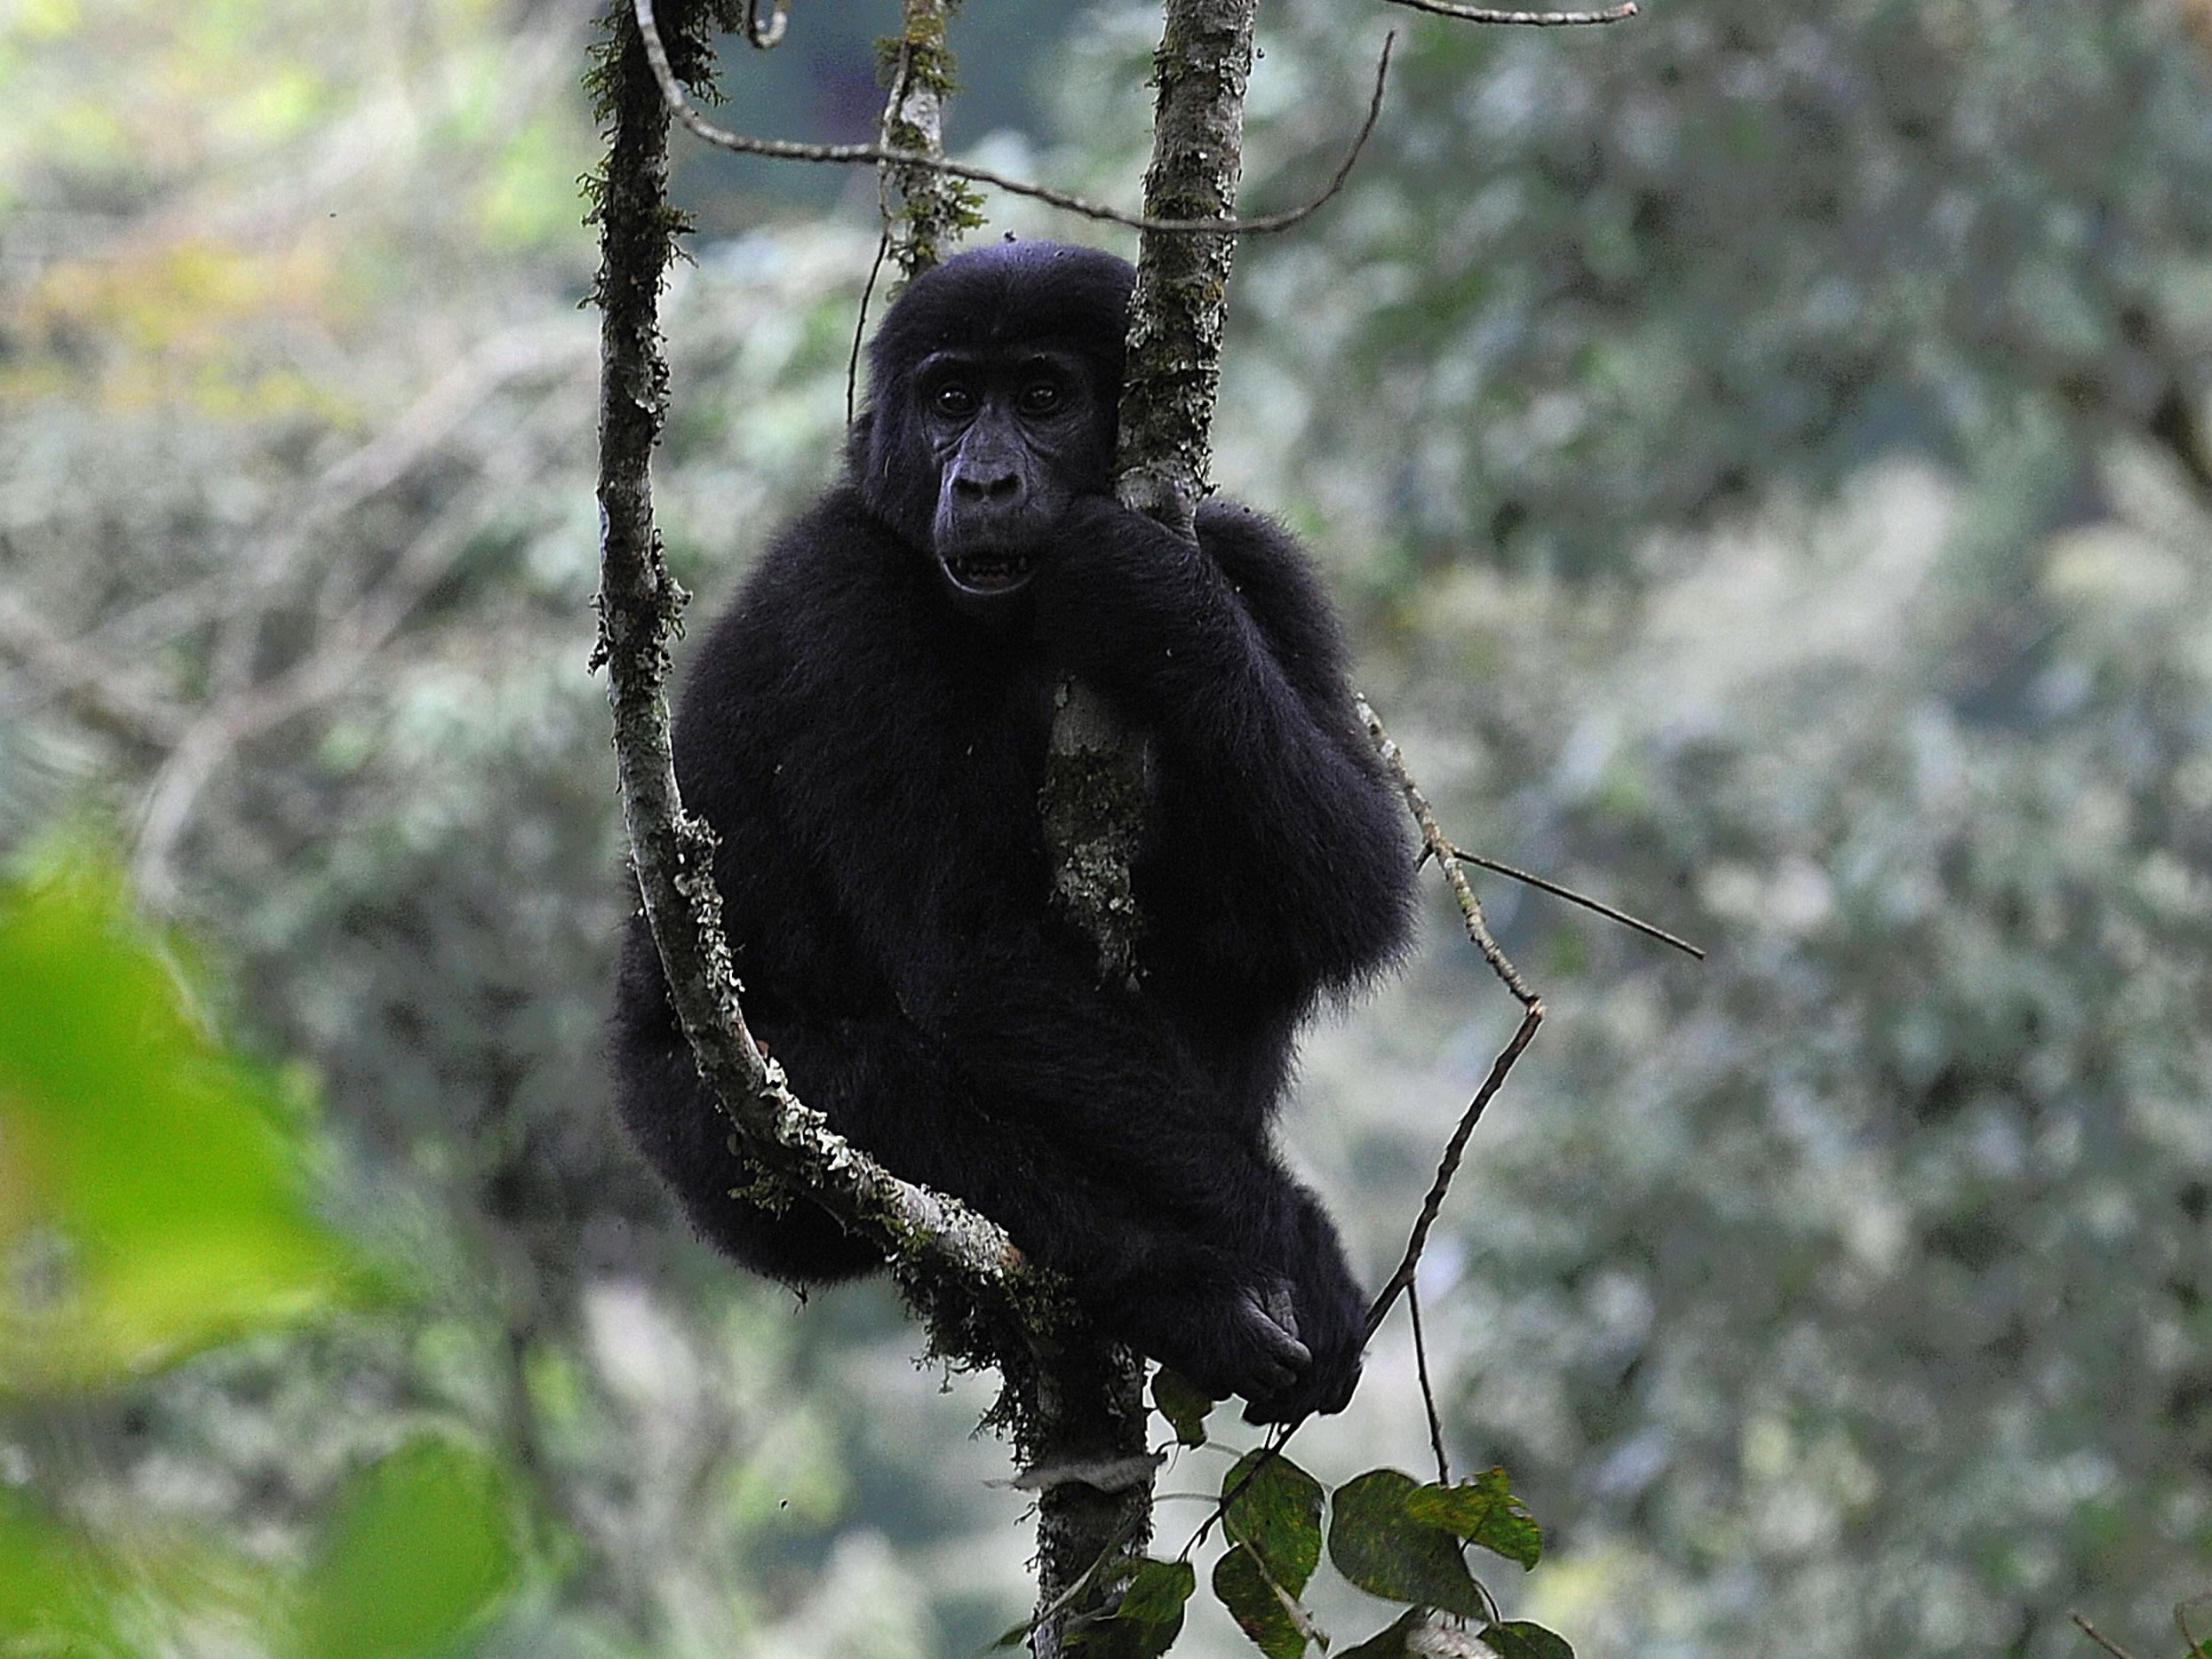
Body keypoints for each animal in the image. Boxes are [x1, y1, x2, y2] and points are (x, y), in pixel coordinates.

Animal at [619, 240, 1415, 1424]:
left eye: (1042, 397)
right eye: (952, 401)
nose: (984, 480)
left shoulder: (1262, 563)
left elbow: (1350, 883)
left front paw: (1151, 596)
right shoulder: (842, 601)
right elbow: (981, 962)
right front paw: (1296, 1244)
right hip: (702, 1143)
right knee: (893, 1098)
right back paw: (1177, 1290)